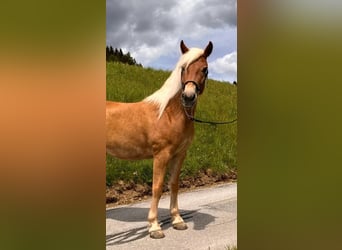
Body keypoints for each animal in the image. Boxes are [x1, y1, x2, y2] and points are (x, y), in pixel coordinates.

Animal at [107, 40, 212, 238]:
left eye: (205, 69)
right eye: (183, 68)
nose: (188, 97)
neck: (169, 114)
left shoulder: (179, 155)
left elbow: (174, 184)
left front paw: (177, 220)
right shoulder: (161, 155)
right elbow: (157, 187)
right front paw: (154, 226)